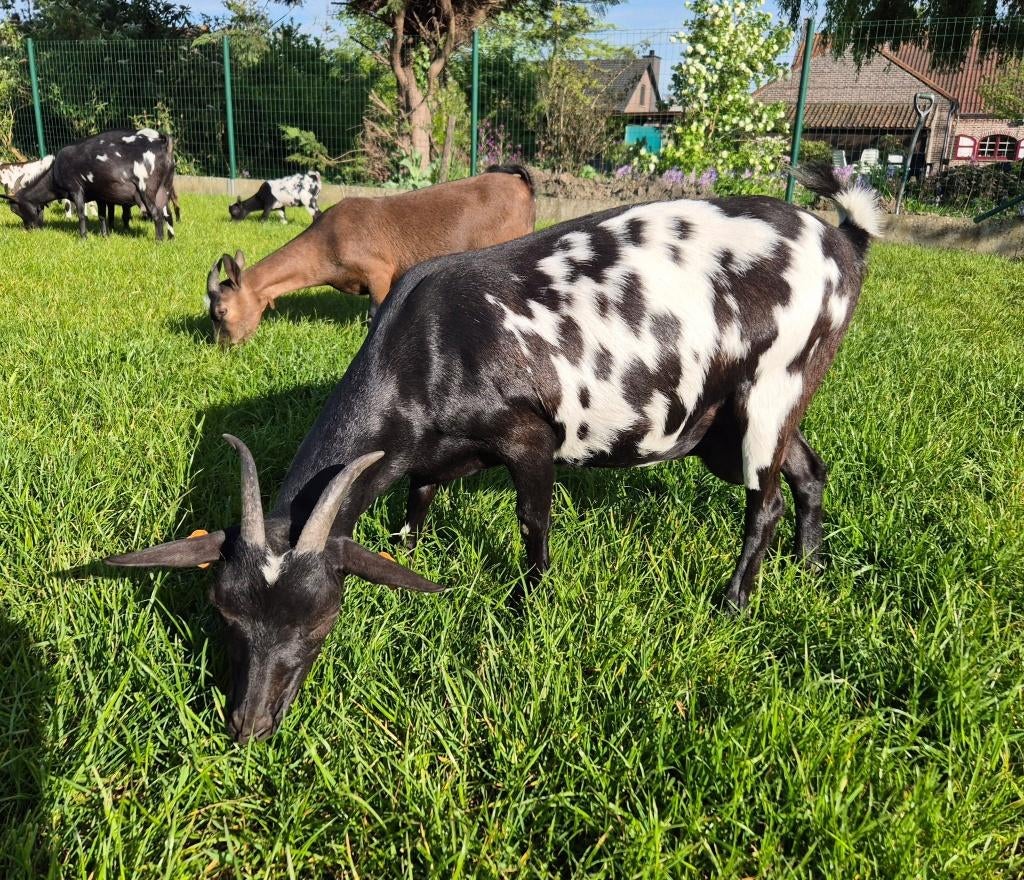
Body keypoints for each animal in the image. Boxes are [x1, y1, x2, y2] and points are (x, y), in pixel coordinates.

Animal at [1, 127, 176, 240]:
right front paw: (105, 236)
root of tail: (162, 144)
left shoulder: (76, 189)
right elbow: (102, 216)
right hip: (164, 190)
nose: (29, 229)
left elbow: (81, 214)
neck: (55, 171)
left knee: (157, 215)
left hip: (146, 190)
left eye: (15, 209)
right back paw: (171, 238)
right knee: (167, 214)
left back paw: (158, 241)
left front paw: (83, 237)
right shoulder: (100, 196)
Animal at [206, 165, 536, 345]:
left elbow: (375, 313)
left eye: (221, 311)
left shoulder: (378, 272)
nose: (224, 346)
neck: (327, 241)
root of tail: (521, 184)